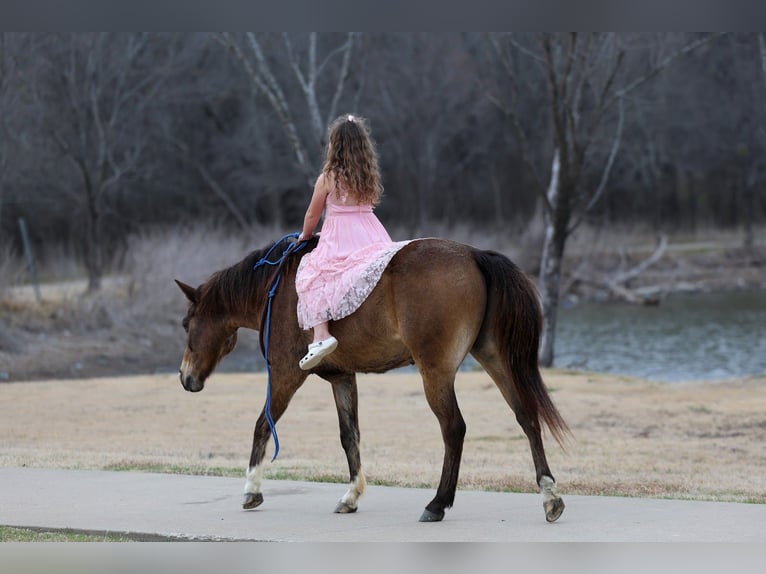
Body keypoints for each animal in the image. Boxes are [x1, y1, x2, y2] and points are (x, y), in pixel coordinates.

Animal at [175, 235, 569, 523]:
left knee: (454, 429)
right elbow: (349, 436)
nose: (184, 376)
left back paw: (438, 503)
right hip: (493, 357)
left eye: (185, 323)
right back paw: (549, 495)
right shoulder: (342, 378)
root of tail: (473, 255)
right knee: (527, 417)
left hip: (436, 372)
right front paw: (351, 496)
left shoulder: (286, 374)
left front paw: (252, 489)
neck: (279, 289)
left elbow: (262, 425)